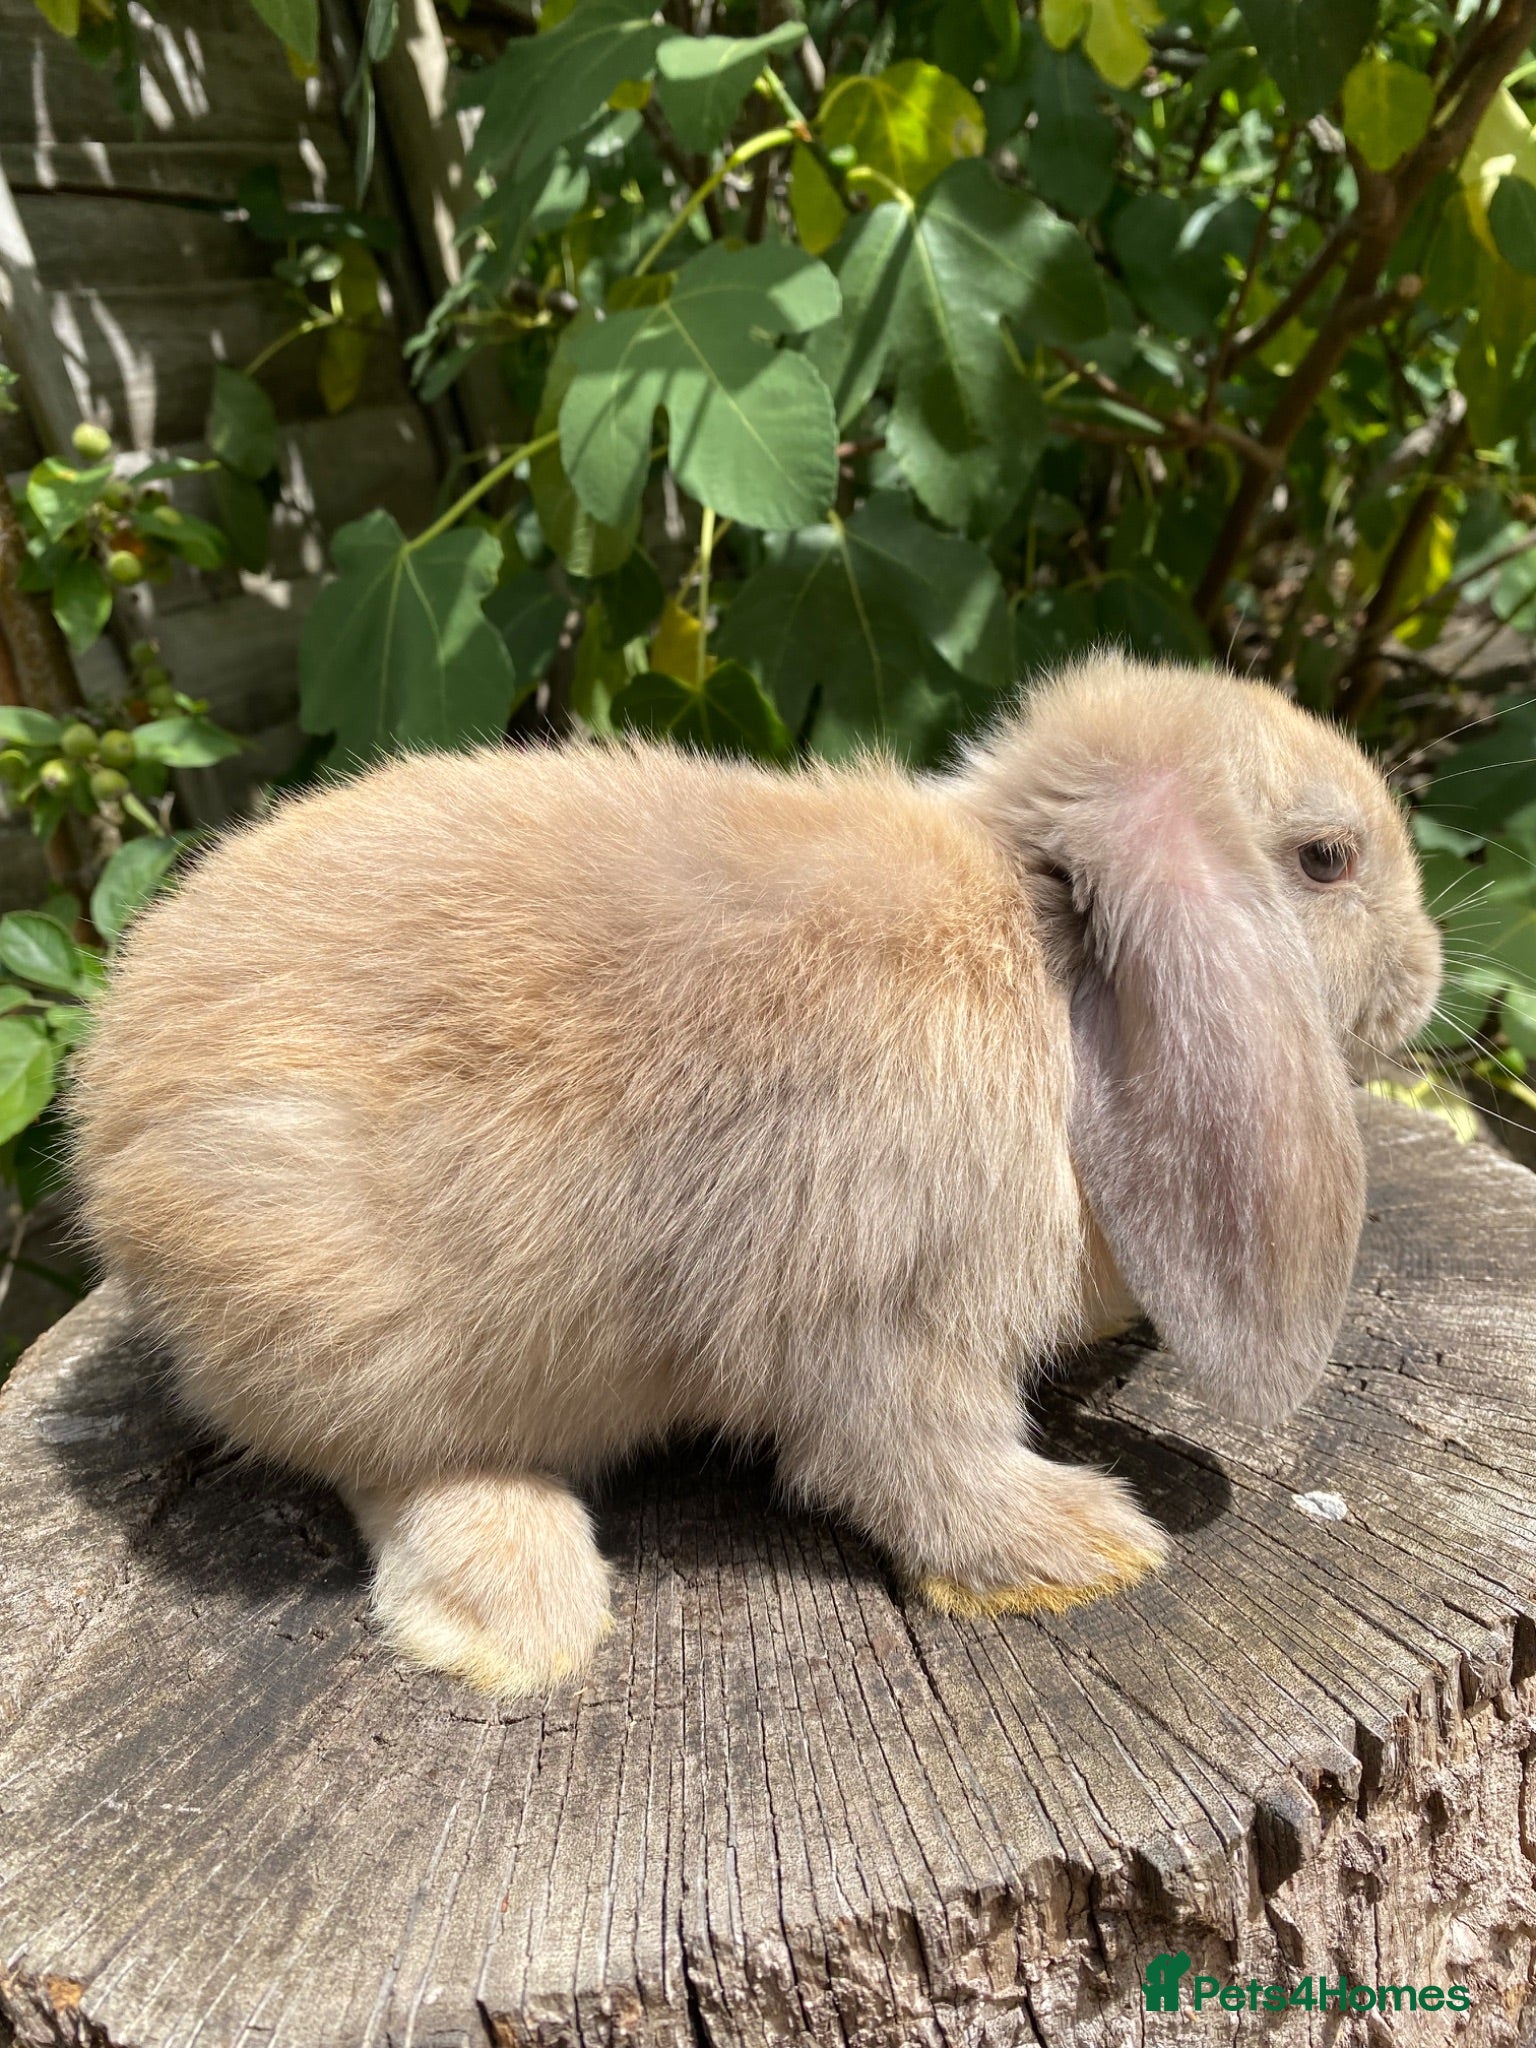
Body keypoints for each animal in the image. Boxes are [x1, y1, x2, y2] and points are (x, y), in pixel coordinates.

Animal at [70, 654, 1443, 1697]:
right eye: (1326, 858)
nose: (1430, 977)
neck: (1049, 968)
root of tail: (105, 1105)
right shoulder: (890, 1311)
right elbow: (915, 1458)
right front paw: (1088, 1546)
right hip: (351, 1321)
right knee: (398, 1467)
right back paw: (524, 1625)